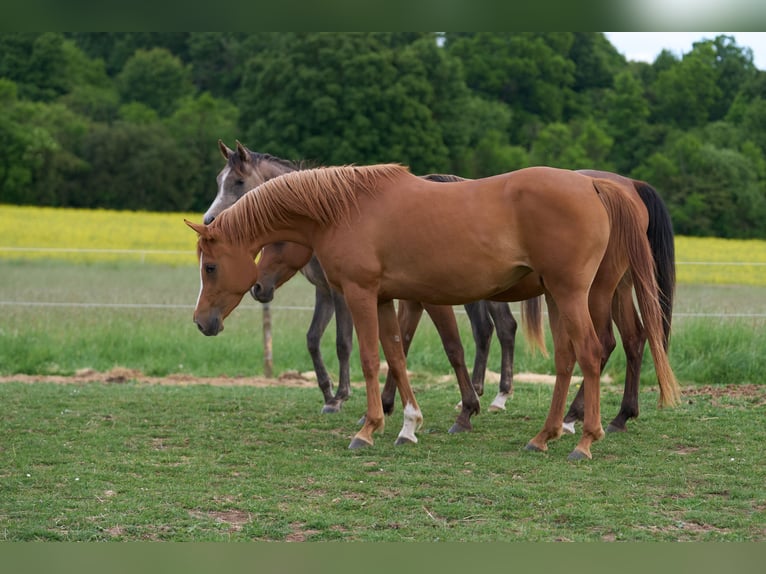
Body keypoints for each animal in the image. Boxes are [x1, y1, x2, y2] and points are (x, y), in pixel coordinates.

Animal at [187, 163, 680, 460]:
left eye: (210, 266)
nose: (201, 322)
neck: (346, 209)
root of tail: (596, 185)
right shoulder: (387, 297)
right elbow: (396, 354)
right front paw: (408, 423)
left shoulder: (363, 294)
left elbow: (371, 357)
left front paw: (368, 428)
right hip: (563, 297)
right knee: (569, 358)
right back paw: (546, 435)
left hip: (578, 294)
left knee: (595, 352)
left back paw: (587, 437)